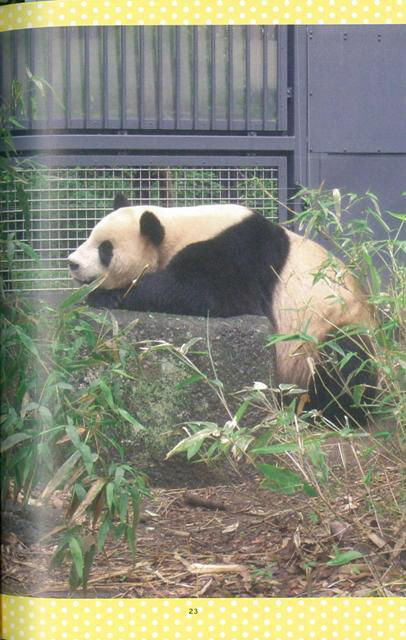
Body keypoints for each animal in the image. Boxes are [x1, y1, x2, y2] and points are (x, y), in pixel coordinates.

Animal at [68, 195, 376, 424]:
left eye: (105, 249)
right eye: (89, 236)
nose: (72, 262)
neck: (177, 228)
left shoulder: (239, 252)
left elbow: (209, 294)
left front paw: (106, 295)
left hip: (329, 328)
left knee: (346, 362)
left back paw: (328, 412)